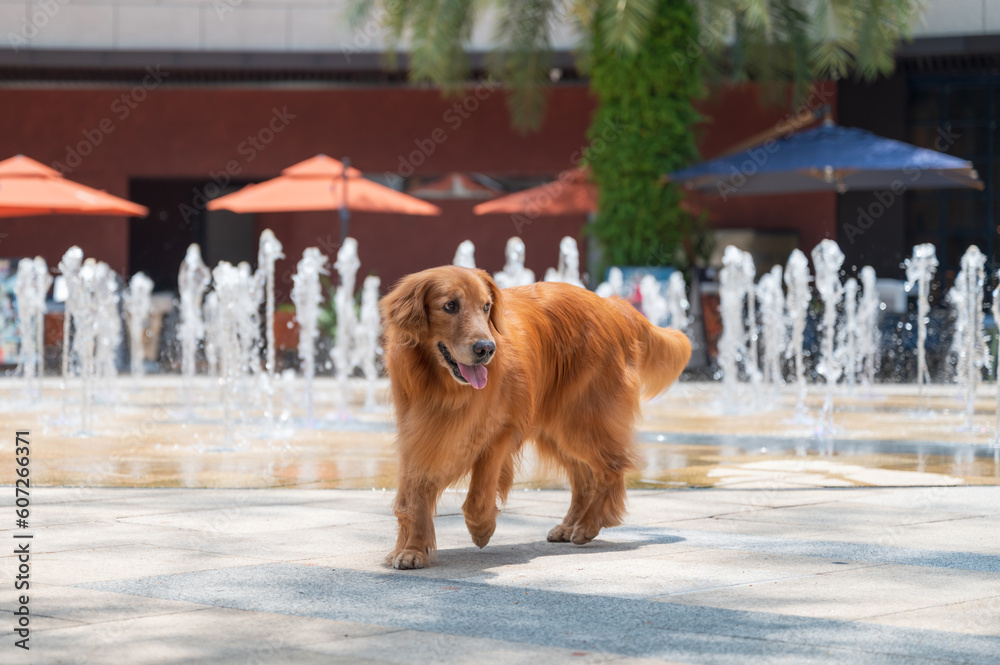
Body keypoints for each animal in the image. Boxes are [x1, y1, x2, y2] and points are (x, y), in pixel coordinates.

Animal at [378, 264, 692, 564]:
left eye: (486, 306)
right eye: (450, 306)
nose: (486, 349)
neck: (441, 387)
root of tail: (613, 305)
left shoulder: (501, 431)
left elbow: (480, 492)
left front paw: (481, 527)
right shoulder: (418, 434)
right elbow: (412, 497)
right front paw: (412, 549)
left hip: (581, 421)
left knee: (612, 467)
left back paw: (589, 525)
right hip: (556, 430)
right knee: (584, 478)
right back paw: (569, 525)